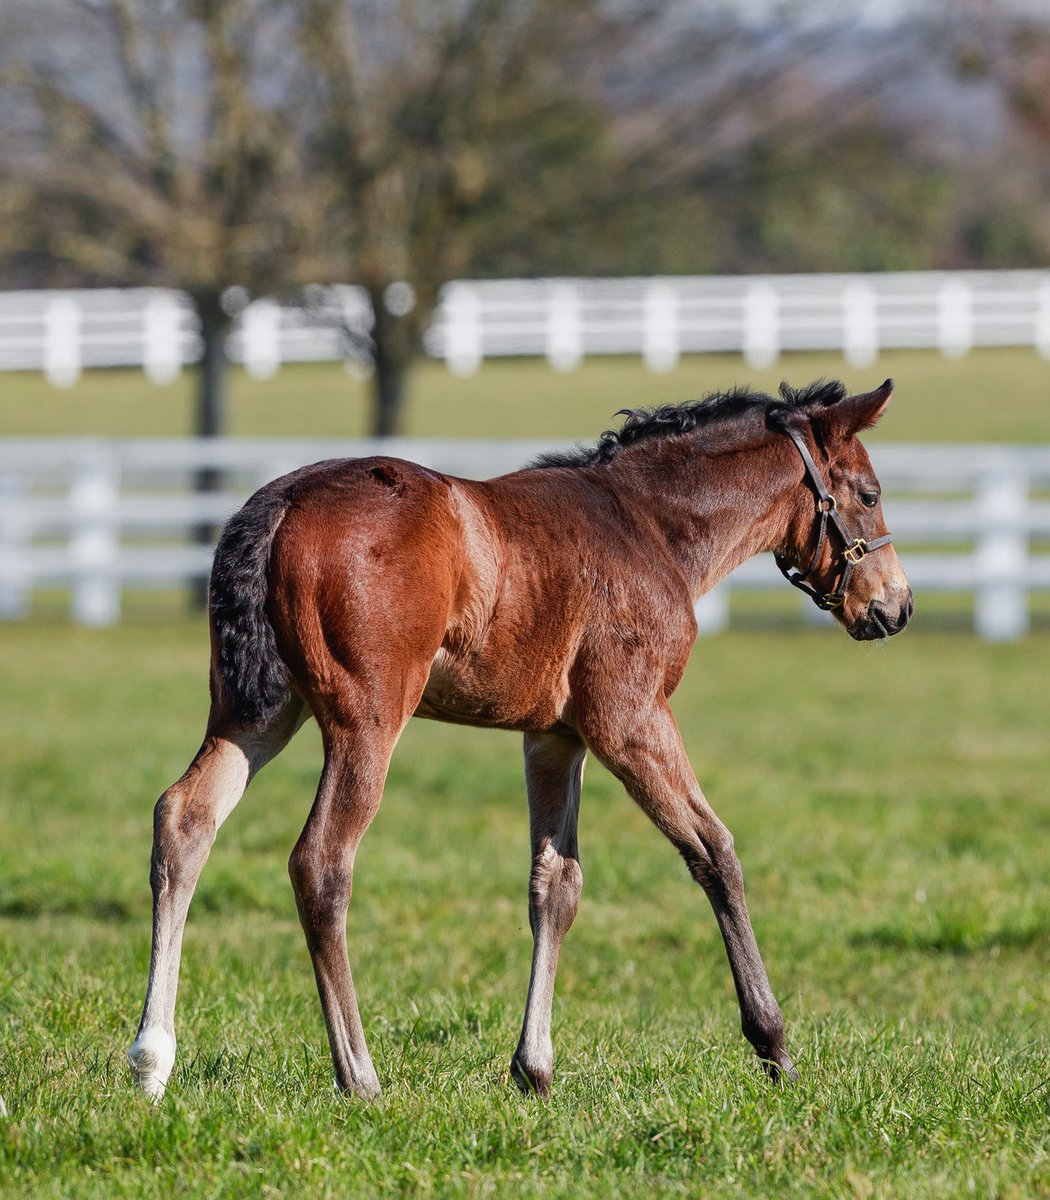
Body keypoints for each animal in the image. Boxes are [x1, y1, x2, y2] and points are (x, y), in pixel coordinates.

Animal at [127, 377, 912, 1100]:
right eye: (869, 494)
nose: (896, 607)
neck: (649, 528)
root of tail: (281, 501)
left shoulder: (555, 735)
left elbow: (555, 884)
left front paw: (533, 1069)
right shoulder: (630, 719)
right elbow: (714, 851)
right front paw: (773, 1044)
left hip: (256, 711)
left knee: (184, 818)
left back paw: (150, 1061)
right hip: (366, 722)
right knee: (321, 862)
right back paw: (359, 1075)